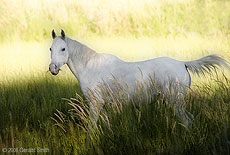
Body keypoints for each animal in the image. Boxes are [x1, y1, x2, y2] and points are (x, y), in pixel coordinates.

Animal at [48, 29, 228, 125]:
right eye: (50, 48)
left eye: (63, 49)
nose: (52, 68)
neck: (91, 67)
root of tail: (182, 63)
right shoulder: (103, 105)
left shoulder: (95, 103)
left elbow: (91, 127)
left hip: (175, 102)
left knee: (186, 121)